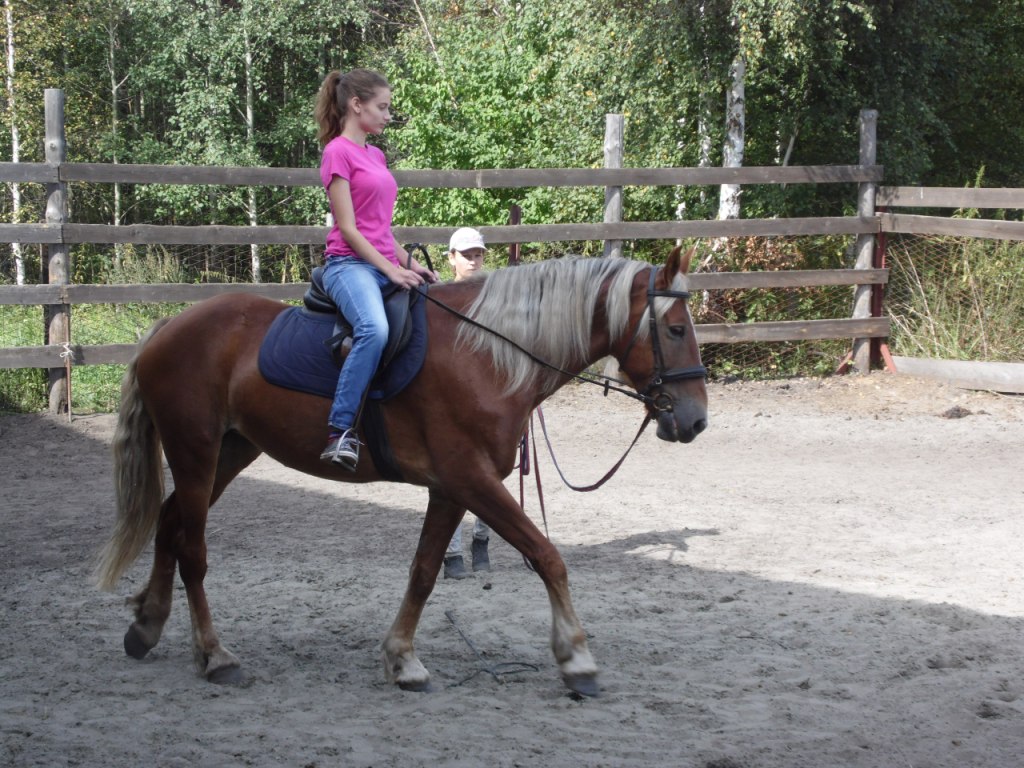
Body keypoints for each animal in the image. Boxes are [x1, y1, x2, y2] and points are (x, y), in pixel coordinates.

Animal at [94, 244, 708, 697]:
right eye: (676, 329)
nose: (697, 420)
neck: (487, 353)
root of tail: (169, 325)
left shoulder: (452, 489)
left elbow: (425, 571)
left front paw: (401, 659)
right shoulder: (471, 480)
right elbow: (547, 557)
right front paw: (576, 658)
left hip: (229, 452)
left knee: (169, 523)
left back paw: (147, 625)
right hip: (196, 452)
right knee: (191, 549)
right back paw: (214, 655)